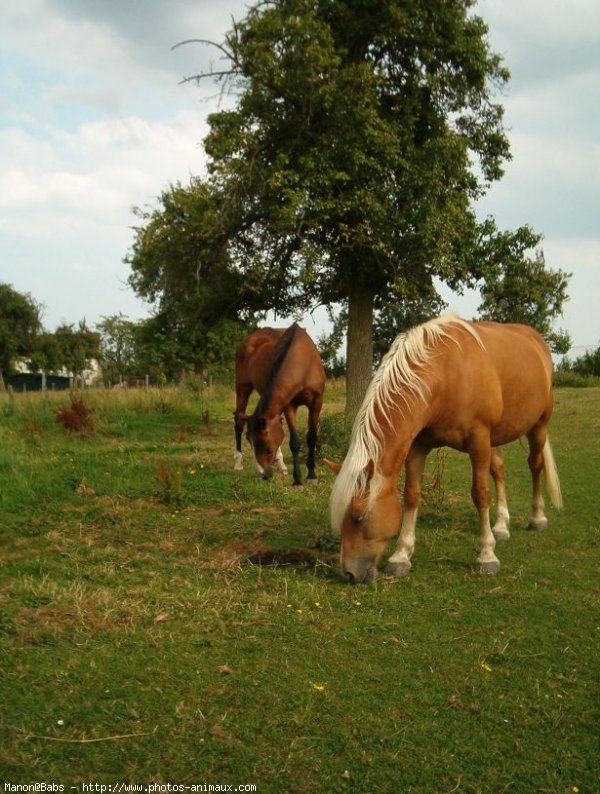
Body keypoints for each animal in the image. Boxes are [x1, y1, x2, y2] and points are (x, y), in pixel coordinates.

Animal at [233, 320, 326, 482]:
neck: (303, 364)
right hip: (242, 387)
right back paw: (238, 463)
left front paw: (312, 475)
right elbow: (294, 442)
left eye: (267, 448)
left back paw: (281, 465)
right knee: (238, 422)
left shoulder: (317, 402)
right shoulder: (289, 405)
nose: (263, 474)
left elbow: (311, 437)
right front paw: (298, 479)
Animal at [326, 314, 560, 580]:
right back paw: (501, 526)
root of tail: (535, 339)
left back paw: (537, 518)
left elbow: (480, 494)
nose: (348, 573)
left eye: (359, 517)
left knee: (535, 465)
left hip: (538, 426)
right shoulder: (418, 445)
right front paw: (401, 556)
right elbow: (411, 495)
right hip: (495, 438)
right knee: (499, 471)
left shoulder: (478, 440)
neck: (445, 375)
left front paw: (487, 555)